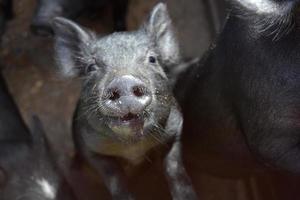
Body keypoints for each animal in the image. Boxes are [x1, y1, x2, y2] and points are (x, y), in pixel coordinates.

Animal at [52, 2, 197, 199]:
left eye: (152, 59)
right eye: (91, 67)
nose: (124, 80)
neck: (133, 148)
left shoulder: (176, 127)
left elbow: (174, 167)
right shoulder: (89, 146)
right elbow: (114, 178)